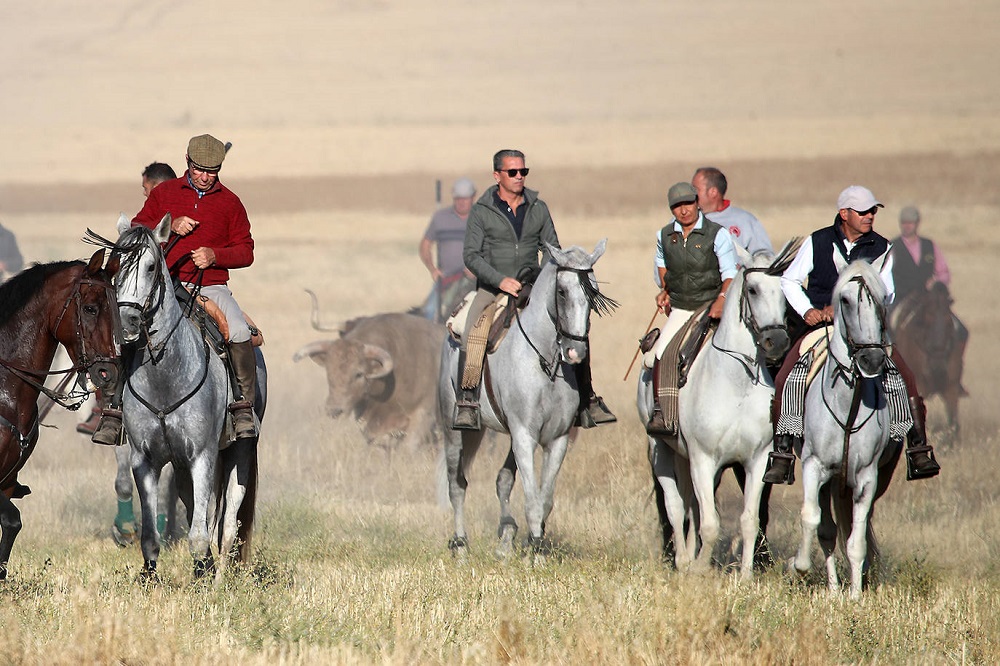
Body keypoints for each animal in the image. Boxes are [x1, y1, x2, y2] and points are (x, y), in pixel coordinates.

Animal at [440, 241, 616, 556]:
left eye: (593, 292)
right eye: (562, 292)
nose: (575, 352)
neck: (545, 361)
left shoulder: (556, 439)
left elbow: (544, 500)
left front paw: (535, 546)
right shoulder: (524, 436)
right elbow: (533, 500)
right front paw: (536, 551)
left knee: (503, 479)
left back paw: (506, 539)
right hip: (454, 430)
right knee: (457, 484)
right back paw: (460, 544)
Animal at [788, 252, 908, 600]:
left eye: (883, 297)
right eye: (844, 299)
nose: (871, 360)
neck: (848, 406)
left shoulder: (867, 477)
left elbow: (857, 540)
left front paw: (855, 595)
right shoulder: (813, 465)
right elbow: (811, 518)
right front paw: (799, 566)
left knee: (856, 529)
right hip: (830, 480)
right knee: (827, 529)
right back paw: (831, 588)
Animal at [896, 278, 964, 438]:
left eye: (949, 322)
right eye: (923, 322)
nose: (937, 369)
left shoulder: (951, 387)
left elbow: (953, 424)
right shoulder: (918, 387)